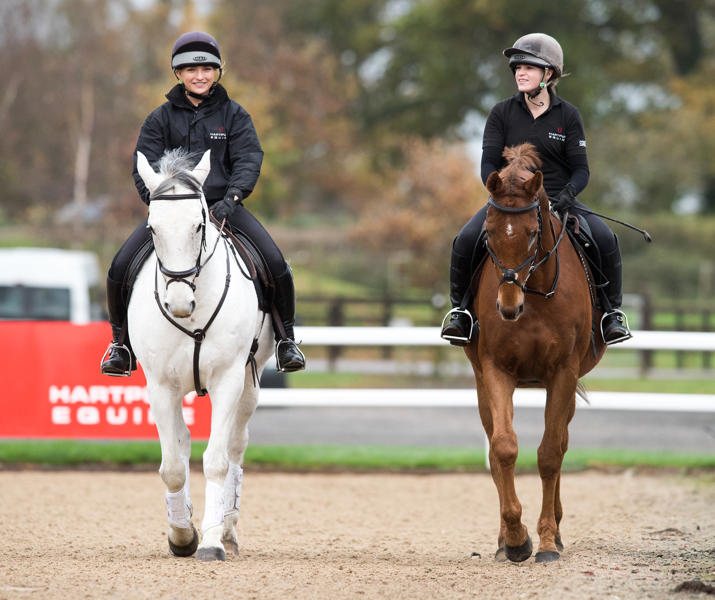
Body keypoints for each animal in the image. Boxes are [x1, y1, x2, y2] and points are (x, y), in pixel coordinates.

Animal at [129, 148, 274, 560]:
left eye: (199, 225)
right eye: (152, 228)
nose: (179, 302)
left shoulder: (228, 380)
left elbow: (217, 462)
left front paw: (210, 539)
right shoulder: (160, 386)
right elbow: (173, 466)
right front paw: (182, 535)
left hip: (250, 383)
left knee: (236, 447)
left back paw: (227, 529)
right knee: (182, 442)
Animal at [464, 143, 604, 564]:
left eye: (531, 234)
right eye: (489, 233)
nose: (508, 308)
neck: (536, 294)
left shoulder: (562, 373)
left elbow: (549, 455)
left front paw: (545, 542)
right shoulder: (496, 371)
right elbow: (504, 449)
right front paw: (515, 540)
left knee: (560, 443)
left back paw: (555, 532)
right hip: (482, 383)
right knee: (495, 449)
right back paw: (503, 542)